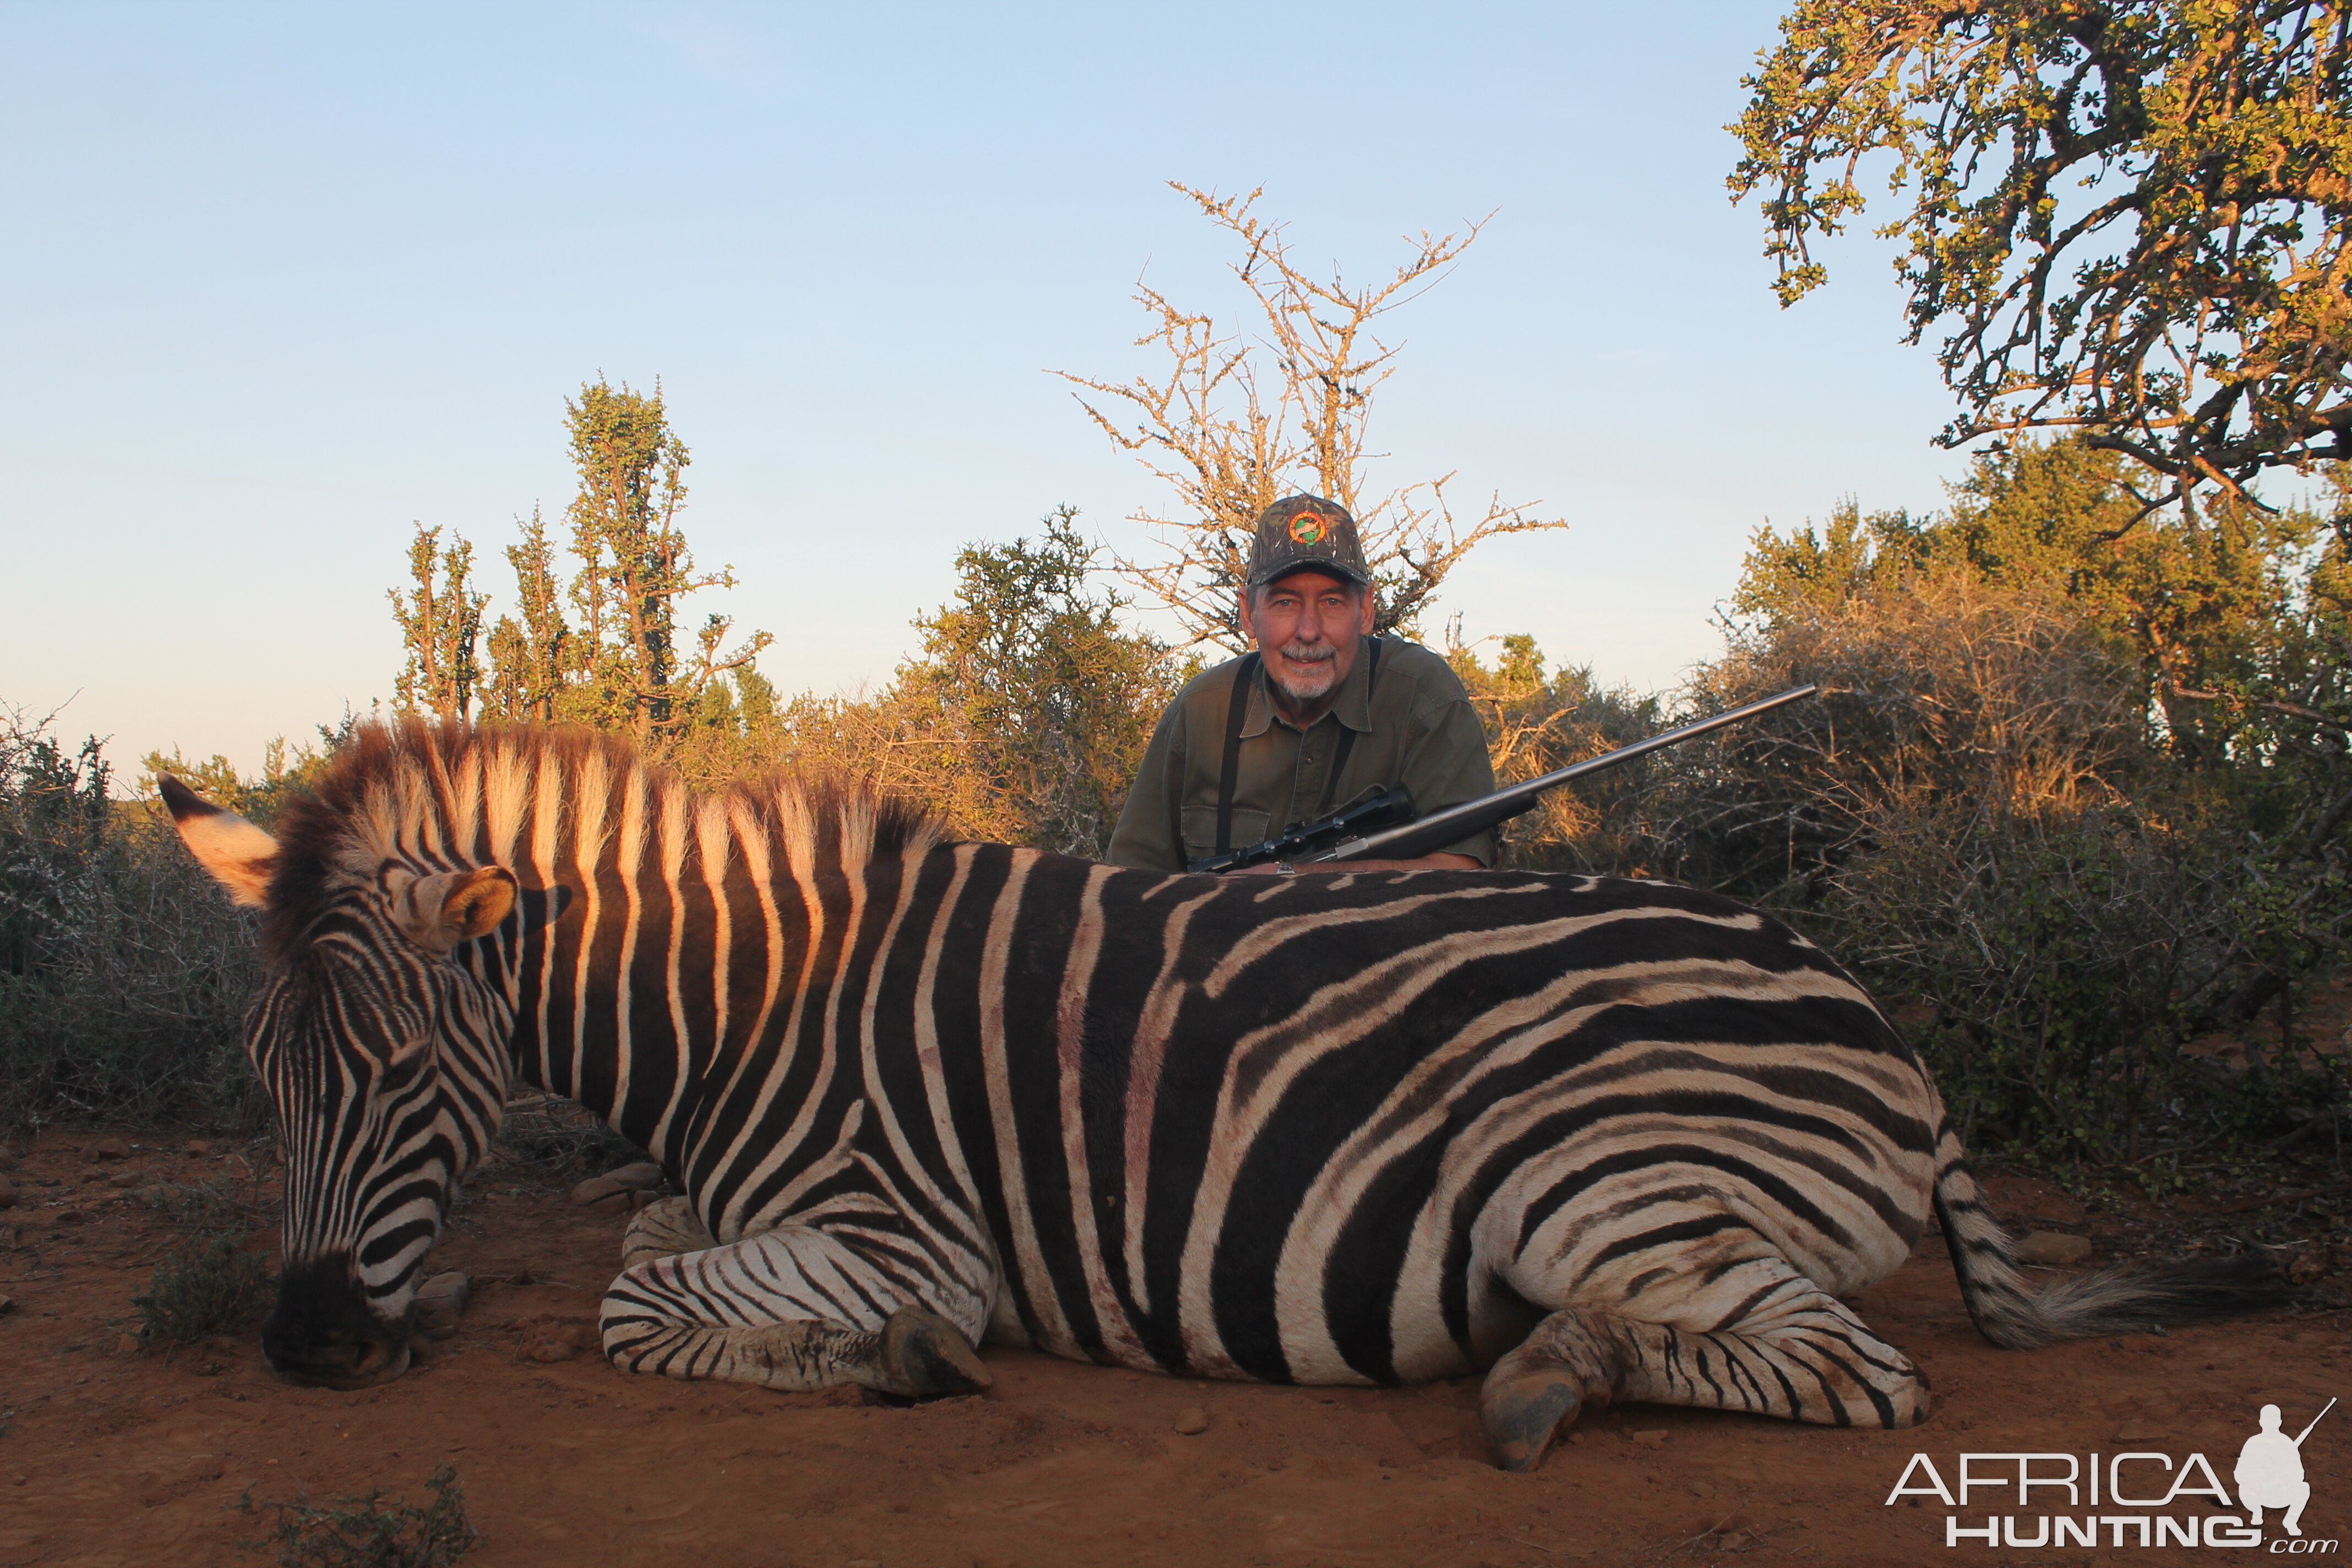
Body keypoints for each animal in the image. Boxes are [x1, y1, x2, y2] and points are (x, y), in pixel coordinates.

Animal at [161, 724, 2277, 1476]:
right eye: (265, 1079)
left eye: (397, 1073)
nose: (302, 1343)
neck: (753, 1009)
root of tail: (1881, 1023)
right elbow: (645, 1238)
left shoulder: (901, 1225)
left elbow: (631, 1297)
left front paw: (894, 1361)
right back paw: (1549, 1366)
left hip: (1577, 1167)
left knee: (1854, 1371)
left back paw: (1534, 1384)